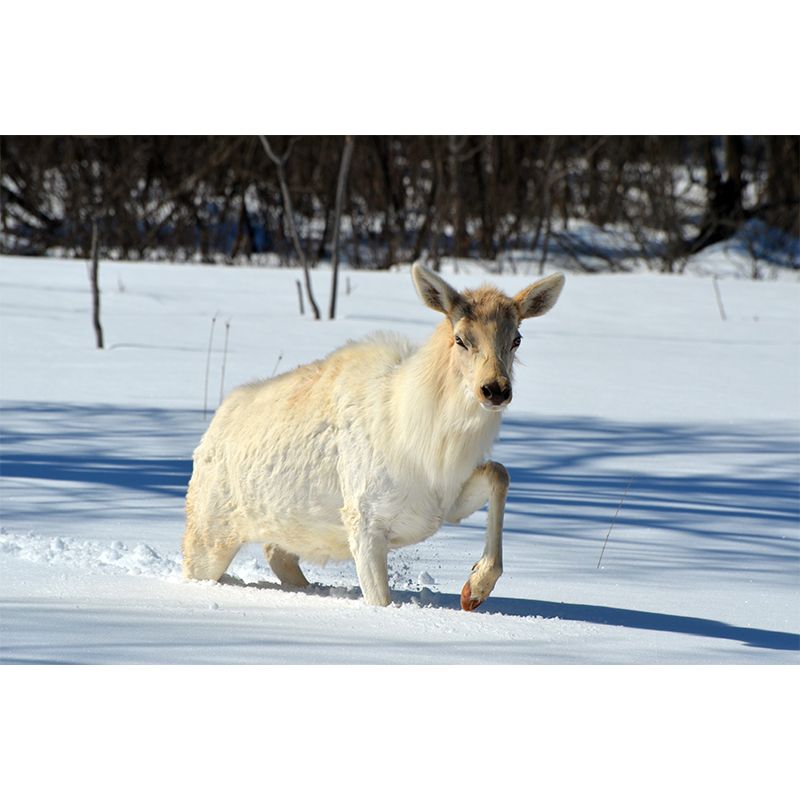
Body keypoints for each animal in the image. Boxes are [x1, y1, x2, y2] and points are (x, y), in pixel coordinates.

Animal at [182, 263, 565, 610]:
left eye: (516, 339)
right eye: (460, 338)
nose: (495, 389)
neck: (433, 445)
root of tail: (208, 436)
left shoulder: (444, 506)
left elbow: (500, 473)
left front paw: (475, 589)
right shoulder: (364, 520)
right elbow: (380, 602)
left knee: (278, 553)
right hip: (208, 534)